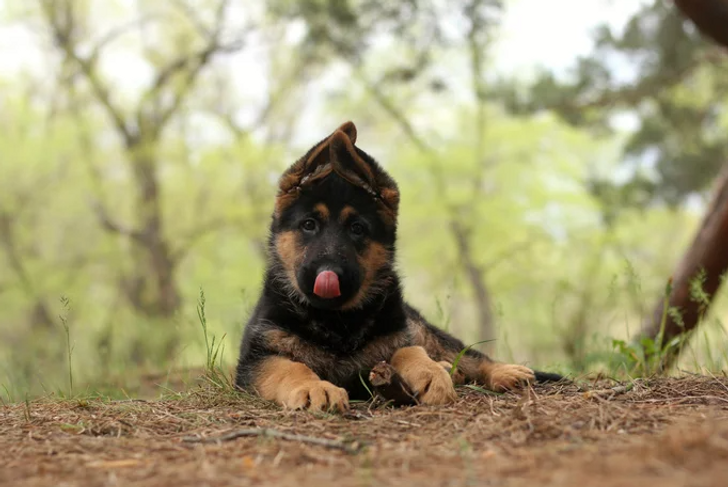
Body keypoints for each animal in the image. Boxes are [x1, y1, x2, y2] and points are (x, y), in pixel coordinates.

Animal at [236, 122, 560, 412]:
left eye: (357, 229)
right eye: (308, 225)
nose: (329, 274)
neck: (337, 320)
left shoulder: (398, 338)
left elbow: (410, 351)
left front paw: (430, 373)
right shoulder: (257, 359)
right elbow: (289, 368)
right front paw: (315, 387)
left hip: (423, 328)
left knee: (466, 354)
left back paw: (497, 371)